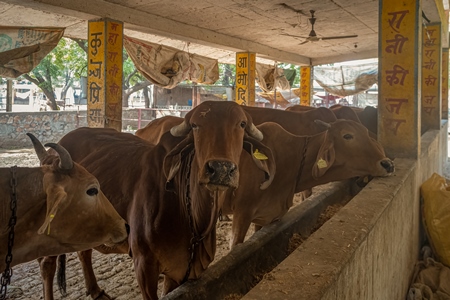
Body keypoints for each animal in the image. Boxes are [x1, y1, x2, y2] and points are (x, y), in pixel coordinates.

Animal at [40, 101, 276, 300]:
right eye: (195, 125)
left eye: (242, 124)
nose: (220, 169)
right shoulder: (144, 265)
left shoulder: (180, 271)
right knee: (47, 264)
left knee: (84, 251)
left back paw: (95, 290)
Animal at [221, 119, 394, 246]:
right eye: (347, 136)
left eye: (366, 132)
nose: (388, 164)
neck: (290, 158)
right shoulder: (242, 213)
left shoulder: (267, 217)